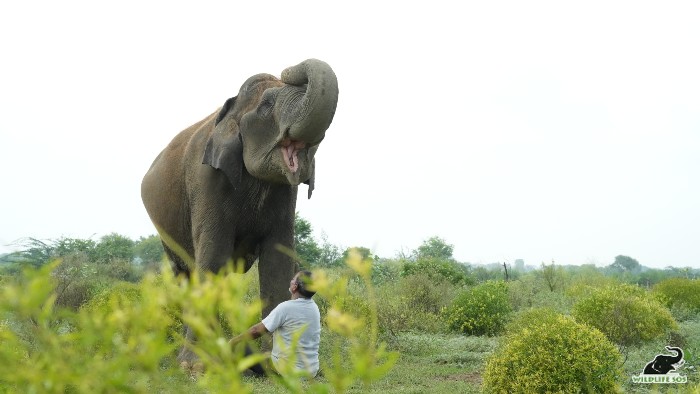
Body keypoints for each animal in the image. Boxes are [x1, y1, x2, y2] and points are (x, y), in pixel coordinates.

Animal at [140, 58, 340, 364]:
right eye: (267, 104)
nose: (289, 70)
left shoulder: (285, 191)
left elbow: (278, 259)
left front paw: (266, 359)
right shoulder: (206, 180)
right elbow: (213, 255)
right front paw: (196, 365)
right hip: (165, 232)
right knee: (184, 274)